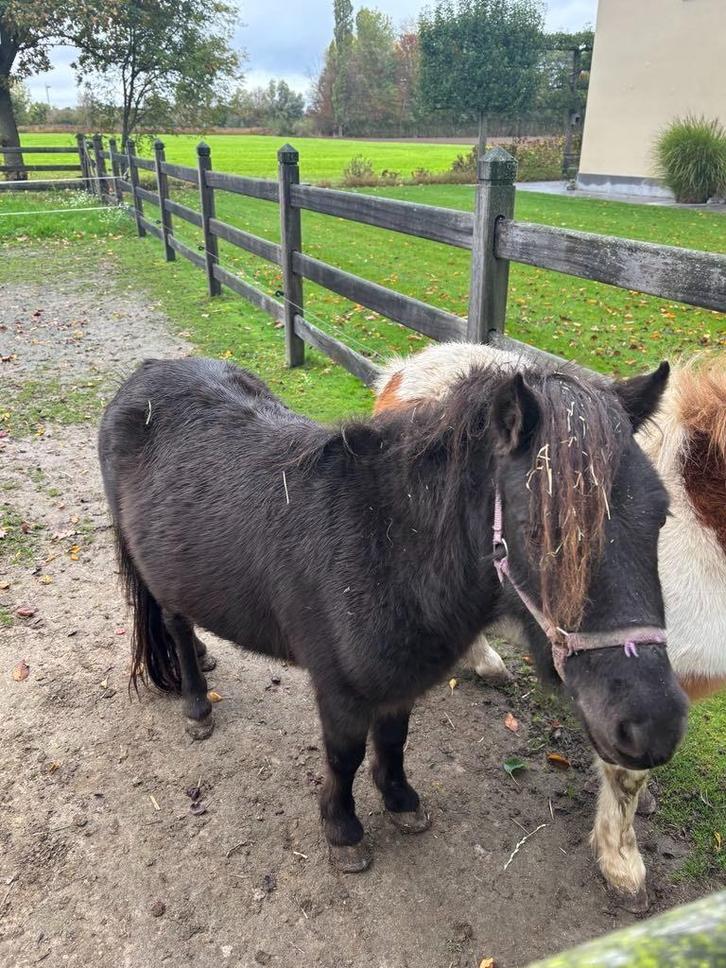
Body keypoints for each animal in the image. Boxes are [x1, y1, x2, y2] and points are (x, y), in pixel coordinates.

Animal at [98, 355, 688, 876]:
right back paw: (197, 703)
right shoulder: (338, 690)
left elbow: (394, 740)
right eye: (544, 530)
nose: (652, 724)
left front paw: (401, 800)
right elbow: (344, 757)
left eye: (661, 516)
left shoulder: (400, 679)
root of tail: (147, 373)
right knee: (173, 623)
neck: (387, 551)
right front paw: (343, 831)